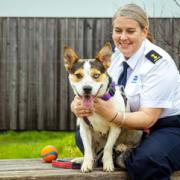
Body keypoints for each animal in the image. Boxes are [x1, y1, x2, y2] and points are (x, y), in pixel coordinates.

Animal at [63, 43, 142, 172]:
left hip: (135, 130)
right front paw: (86, 163)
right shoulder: (84, 128)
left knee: (129, 144)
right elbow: (88, 150)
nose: (87, 88)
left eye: (96, 75)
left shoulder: (115, 127)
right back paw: (82, 159)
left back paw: (122, 146)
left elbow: (108, 148)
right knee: (93, 151)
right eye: (78, 75)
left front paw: (108, 163)